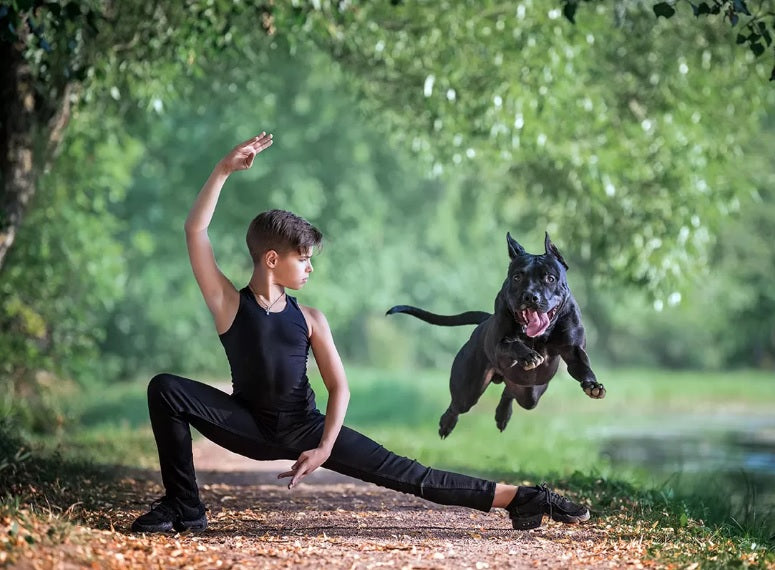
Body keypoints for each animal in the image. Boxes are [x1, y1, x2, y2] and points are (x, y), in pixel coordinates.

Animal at [388, 233, 608, 438]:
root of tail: (485, 321)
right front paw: (528, 355)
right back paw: (446, 424)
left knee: (510, 392)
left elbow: (583, 366)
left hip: (532, 391)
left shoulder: (573, 351)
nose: (530, 296)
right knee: (458, 405)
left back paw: (502, 415)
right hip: (469, 389)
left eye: (550, 278)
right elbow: (512, 344)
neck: (538, 335)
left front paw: (592, 385)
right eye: (517, 277)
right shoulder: (499, 344)